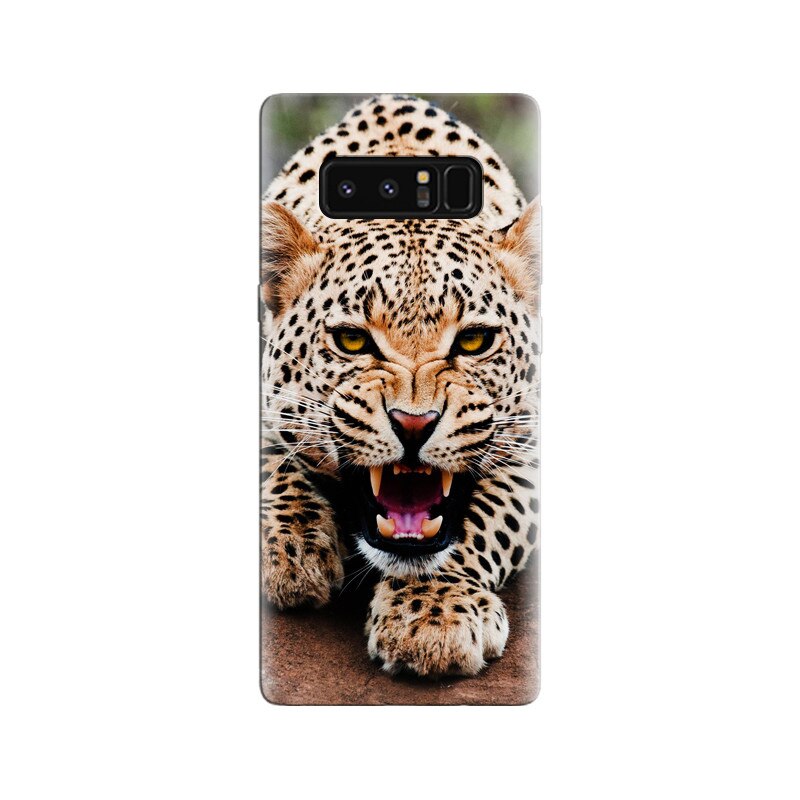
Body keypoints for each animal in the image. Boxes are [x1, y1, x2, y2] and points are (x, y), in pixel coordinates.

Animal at [260, 94, 540, 678]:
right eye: (351, 341)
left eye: (475, 341)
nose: (414, 424)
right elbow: (272, 460)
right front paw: (292, 551)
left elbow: (486, 519)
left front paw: (433, 614)